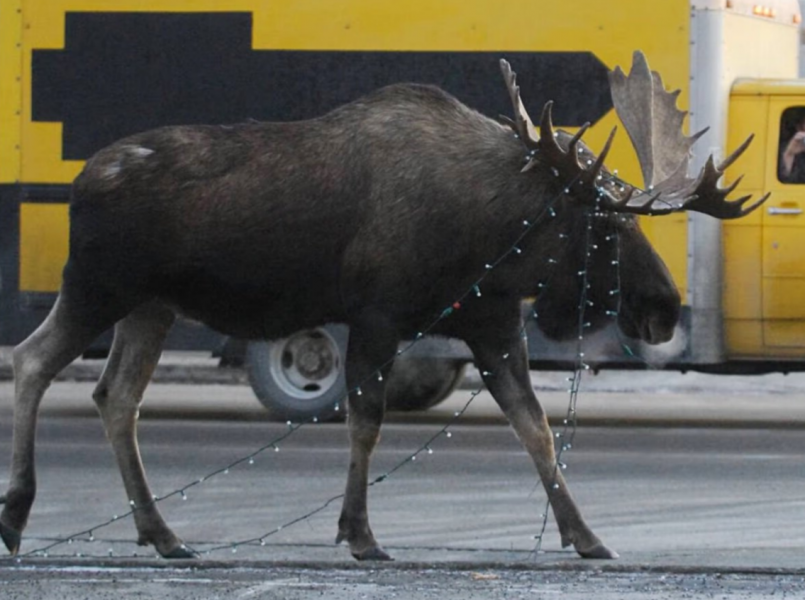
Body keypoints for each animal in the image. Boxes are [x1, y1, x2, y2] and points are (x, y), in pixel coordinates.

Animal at [0, 49, 768, 560]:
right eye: (607, 225)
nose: (663, 307)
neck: (488, 231)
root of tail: (80, 184)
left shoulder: (491, 322)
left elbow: (537, 429)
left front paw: (585, 536)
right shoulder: (377, 314)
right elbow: (365, 422)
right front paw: (360, 533)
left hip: (151, 306)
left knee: (115, 396)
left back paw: (161, 533)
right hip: (97, 286)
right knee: (32, 361)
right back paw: (18, 517)